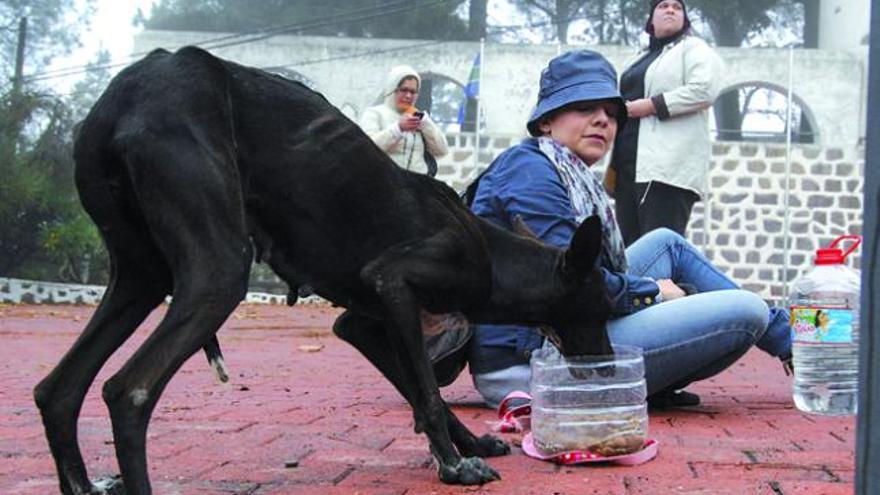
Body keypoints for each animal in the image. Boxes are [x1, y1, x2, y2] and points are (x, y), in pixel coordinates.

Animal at [34, 47, 612, 495]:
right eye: (607, 302)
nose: (609, 369)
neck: (491, 254)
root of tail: (125, 91)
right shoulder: (394, 281)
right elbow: (427, 391)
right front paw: (454, 465)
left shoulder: (366, 321)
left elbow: (421, 391)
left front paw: (470, 444)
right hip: (219, 270)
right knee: (128, 391)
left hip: (140, 278)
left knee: (57, 390)